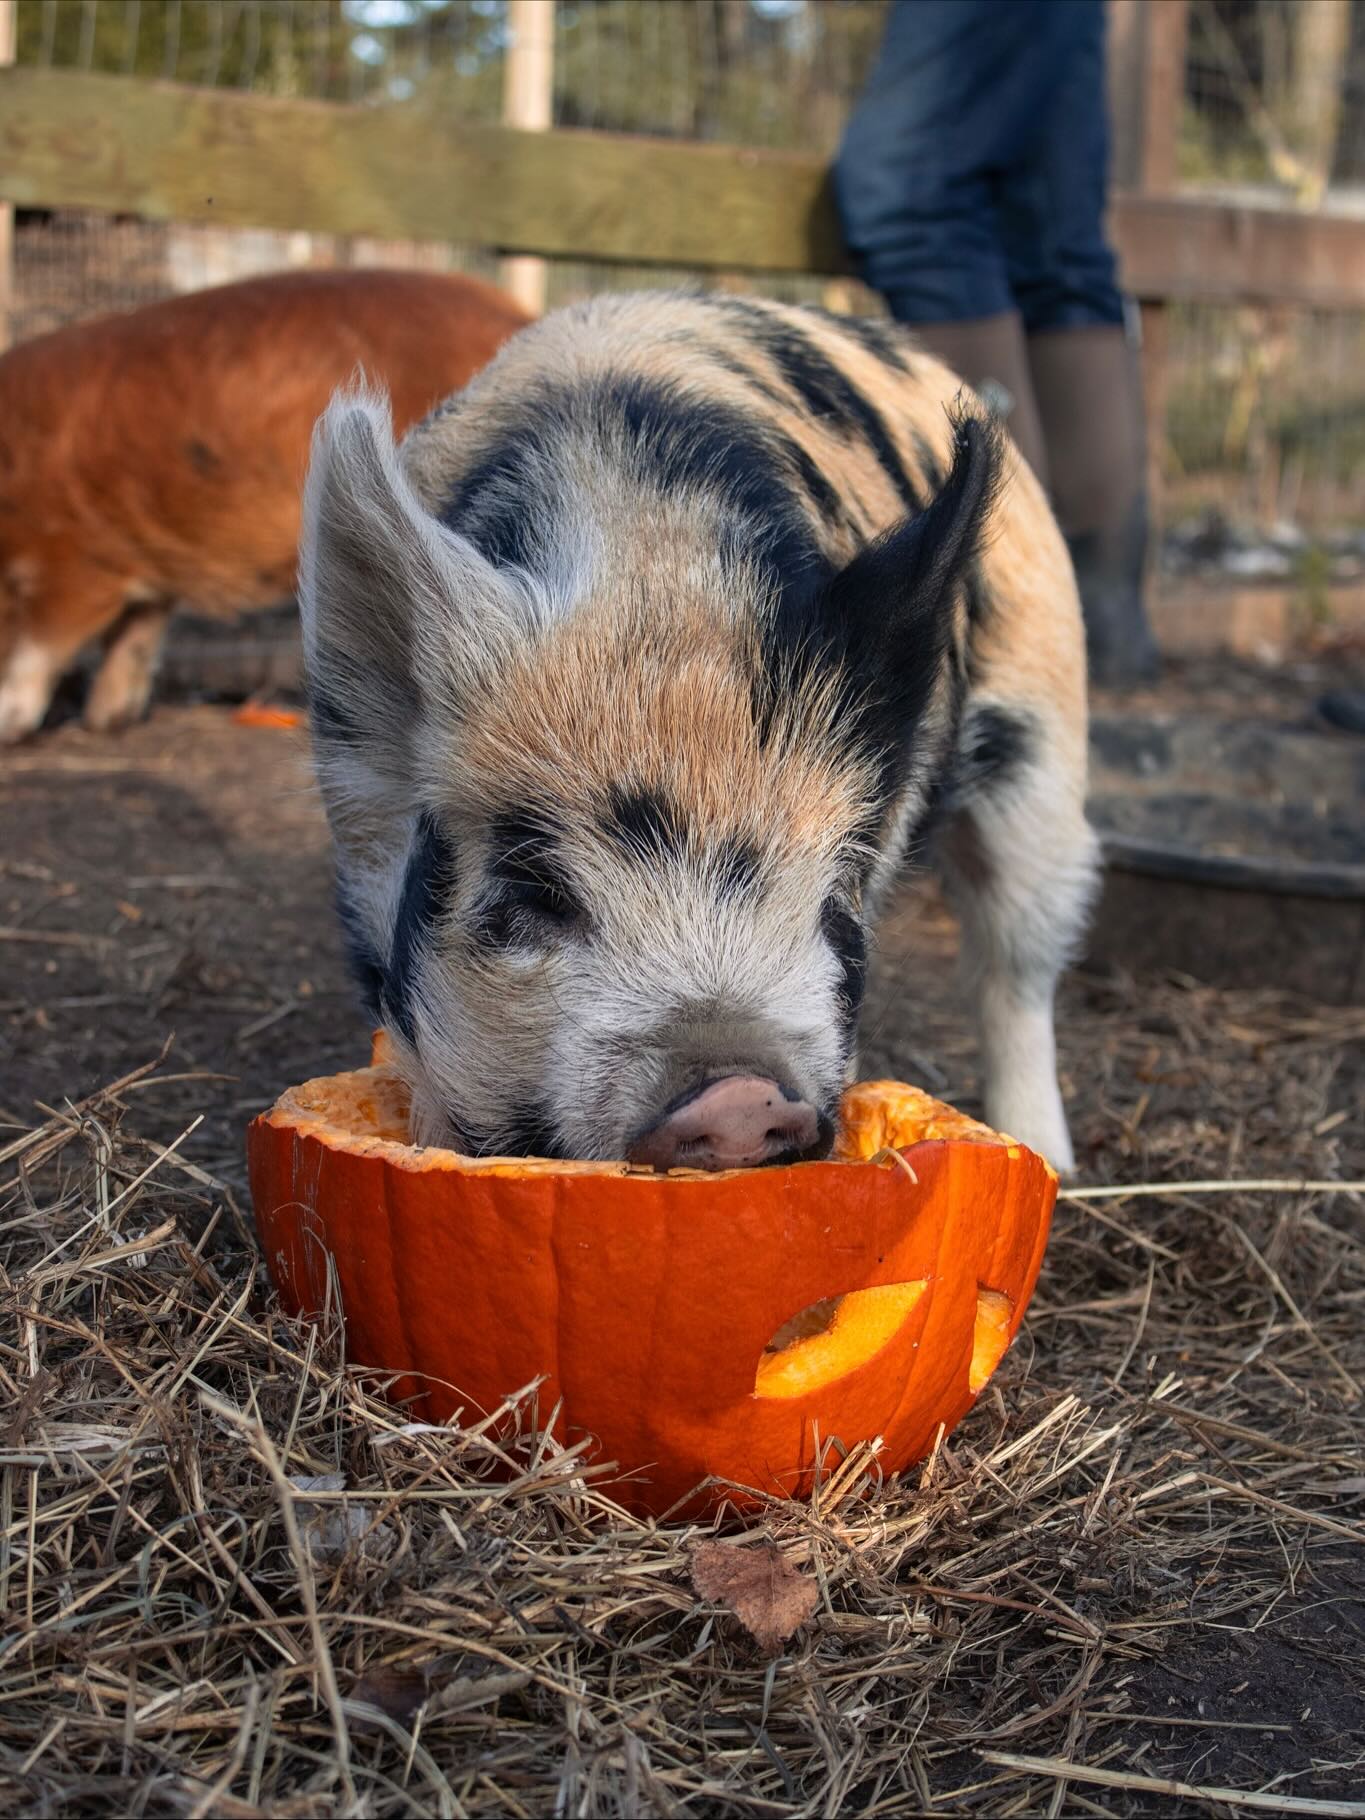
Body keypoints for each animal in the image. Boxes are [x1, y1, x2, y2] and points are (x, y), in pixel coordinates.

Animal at [300, 292, 1098, 1173]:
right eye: (534, 892)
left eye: (833, 901)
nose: (740, 1096)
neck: (655, 571)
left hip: (1043, 747)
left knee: (1017, 959)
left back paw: (1048, 1159)